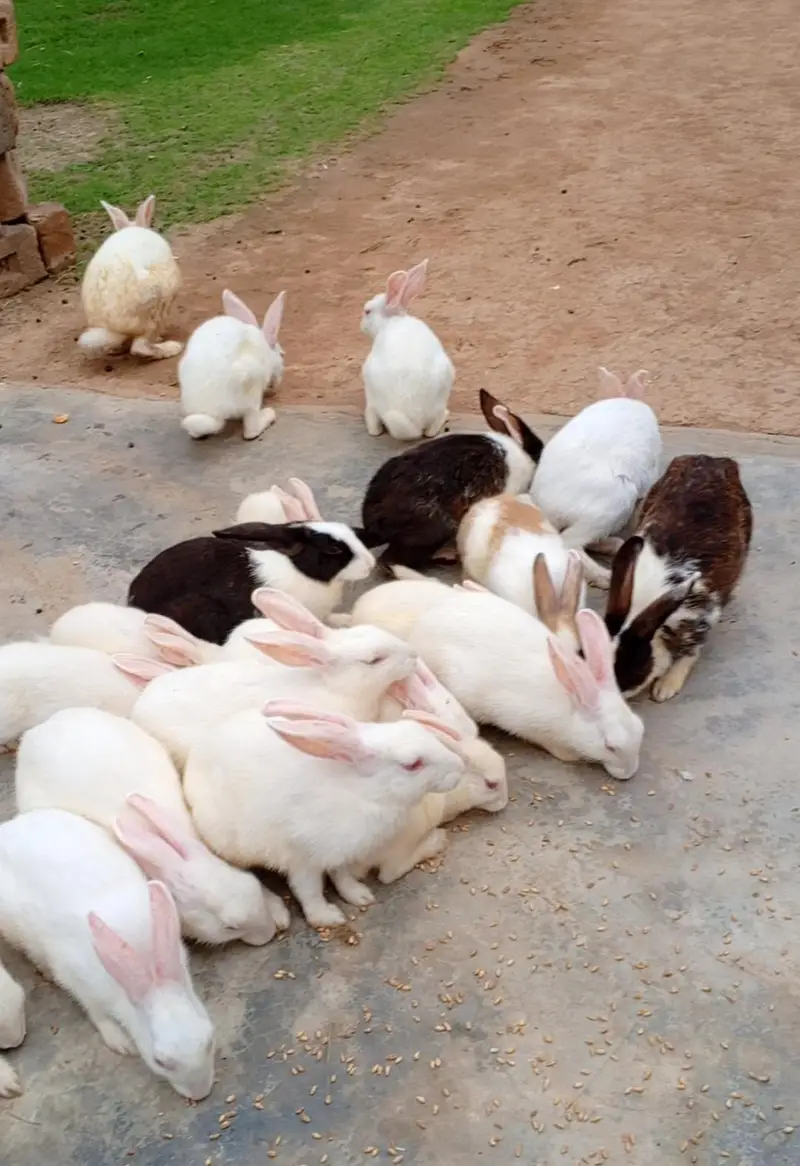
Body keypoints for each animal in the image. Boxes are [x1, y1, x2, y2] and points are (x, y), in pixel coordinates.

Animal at [0, 809, 215, 1099]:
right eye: (160, 1061)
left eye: (209, 1041)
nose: (200, 1093)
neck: (150, 978)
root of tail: (8, 829)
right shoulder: (78, 979)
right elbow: (96, 1013)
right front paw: (120, 1042)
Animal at [179, 289, 286, 440]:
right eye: (282, 354)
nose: (277, 383)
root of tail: (215, 411)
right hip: (252, 387)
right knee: (250, 431)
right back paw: (269, 414)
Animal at [183, 701, 463, 928]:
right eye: (413, 764)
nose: (458, 769)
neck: (364, 792)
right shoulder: (302, 858)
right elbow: (309, 890)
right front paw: (328, 917)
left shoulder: (339, 853)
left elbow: (341, 875)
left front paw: (359, 895)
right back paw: (278, 914)